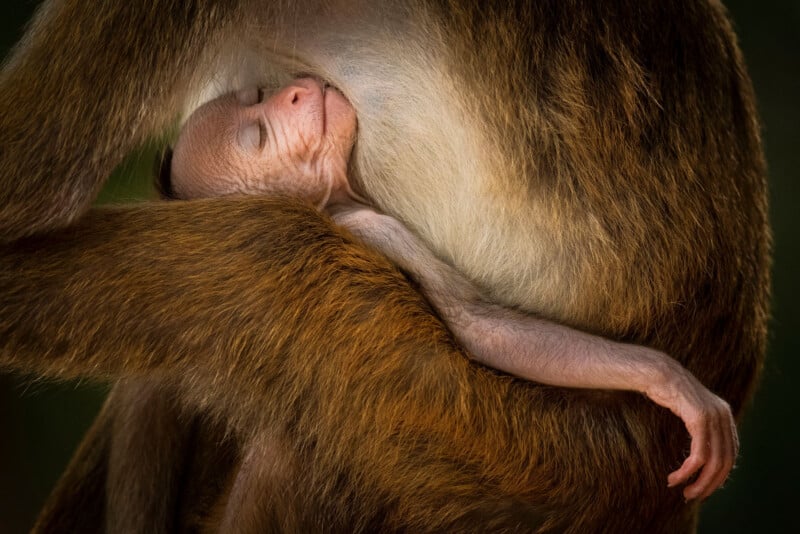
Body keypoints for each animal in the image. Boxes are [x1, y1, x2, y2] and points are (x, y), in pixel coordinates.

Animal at [169, 76, 736, 502]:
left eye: (258, 95)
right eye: (259, 138)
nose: (290, 92)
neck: (335, 203)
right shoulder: (378, 228)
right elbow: (475, 326)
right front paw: (668, 380)